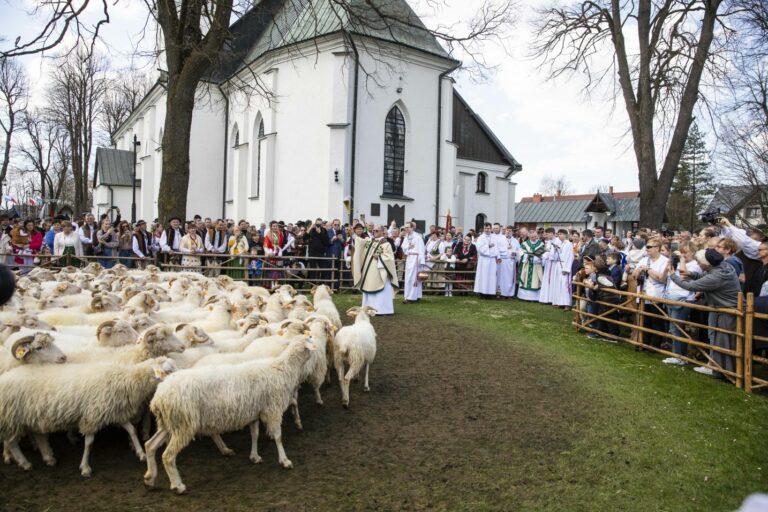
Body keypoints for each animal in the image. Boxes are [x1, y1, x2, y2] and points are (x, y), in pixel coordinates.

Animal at [144, 338, 316, 494]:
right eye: (308, 341)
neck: (282, 369)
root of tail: (158, 398)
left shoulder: (254, 412)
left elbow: (254, 434)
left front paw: (254, 456)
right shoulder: (273, 409)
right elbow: (278, 437)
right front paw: (284, 461)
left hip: (168, 423)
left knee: (150, 445)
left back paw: (150, 478)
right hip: (183, 424)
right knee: (167, 456)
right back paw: (177, 485)